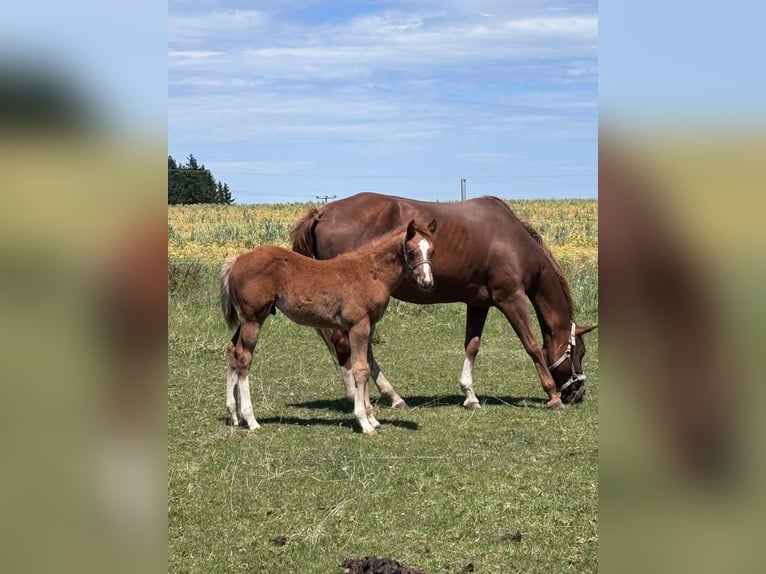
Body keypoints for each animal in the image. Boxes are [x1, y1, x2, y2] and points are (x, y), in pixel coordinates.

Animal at [220, 218, 437, 435]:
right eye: (411, 252)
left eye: (432, 251)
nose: (427, 282)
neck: (371, 273)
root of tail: (235, 262)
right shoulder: (358, 325)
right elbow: (360, 369)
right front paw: (364, 422)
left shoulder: (370, 325)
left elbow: (367, 365)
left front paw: (371, 417)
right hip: (253, 319)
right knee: (243, 358)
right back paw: (251, 419)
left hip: (246, 320)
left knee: (232, 350)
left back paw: (233, 414)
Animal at [291, 192, 596, 410]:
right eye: (580, 353)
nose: (579, 393)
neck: (514, 241)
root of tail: (323, 212)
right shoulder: (511, 298)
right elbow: (531, 344)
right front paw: (552, 395)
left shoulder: (479, 303)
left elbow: (472, 346)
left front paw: (470, 395)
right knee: (346, 345)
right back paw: (359, 396)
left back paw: (393, 397)